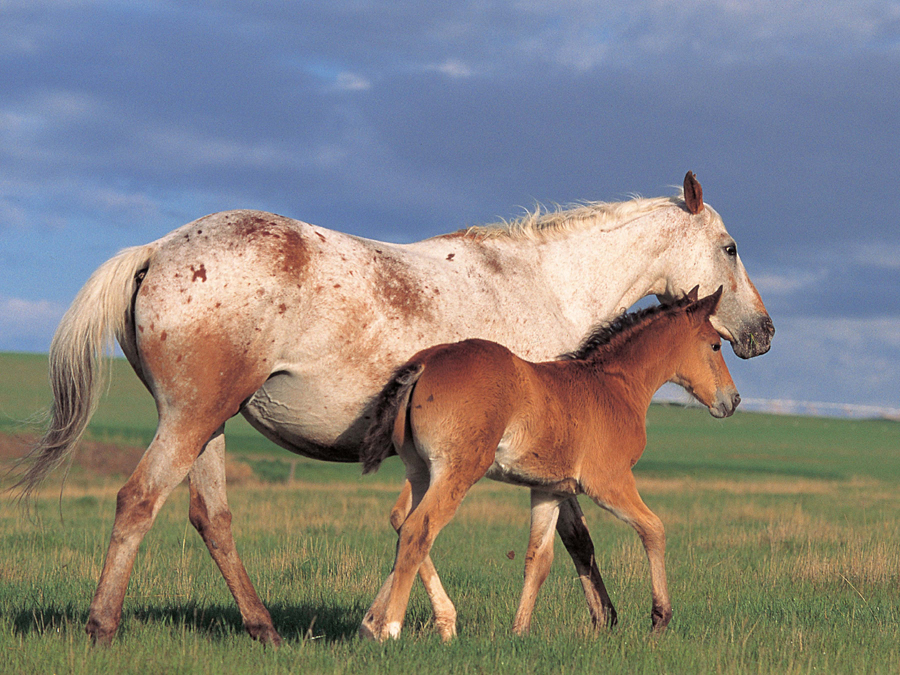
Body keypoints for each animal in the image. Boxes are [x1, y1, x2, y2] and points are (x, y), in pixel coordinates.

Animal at [358, 288, 740, 640]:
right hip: (457, 471)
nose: (733, 400)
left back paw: (378, 623)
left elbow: (539, 560)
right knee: (418, 530)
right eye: (715, 345)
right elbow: (654, 529)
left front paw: (519, 631)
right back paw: (391, 628)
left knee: (401, 521)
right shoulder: (610, 483)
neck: (614, 385)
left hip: (421, 471)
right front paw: (660, 618)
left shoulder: (549, 491)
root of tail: (427, 362)